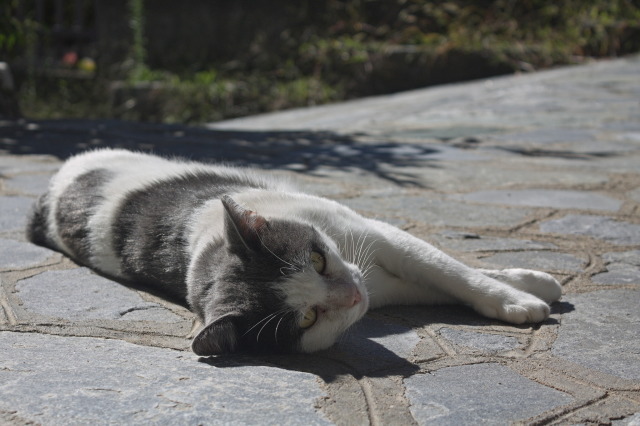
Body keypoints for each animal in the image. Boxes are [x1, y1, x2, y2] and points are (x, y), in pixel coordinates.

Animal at [28, 150, 560, 356]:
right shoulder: (382, 285)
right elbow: (442, 283)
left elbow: (452, 270)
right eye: (307, 318)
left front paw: (525, 287)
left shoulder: (377, 236)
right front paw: (522, 297)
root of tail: (48, 192)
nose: (351, 296)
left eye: (318, 259)